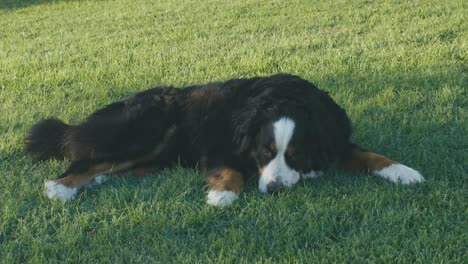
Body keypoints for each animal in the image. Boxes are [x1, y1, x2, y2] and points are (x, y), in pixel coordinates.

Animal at [27, 73, 426, 206]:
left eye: (296, 155)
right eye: (265, 153)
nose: (274, 189)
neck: (285, 99)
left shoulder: (333, 138)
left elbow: (371, 155)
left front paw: (404, 172)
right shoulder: (220, 144)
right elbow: (229, 170)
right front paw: (222, 195)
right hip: (148, 132)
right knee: (86, 160)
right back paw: (60, 188)